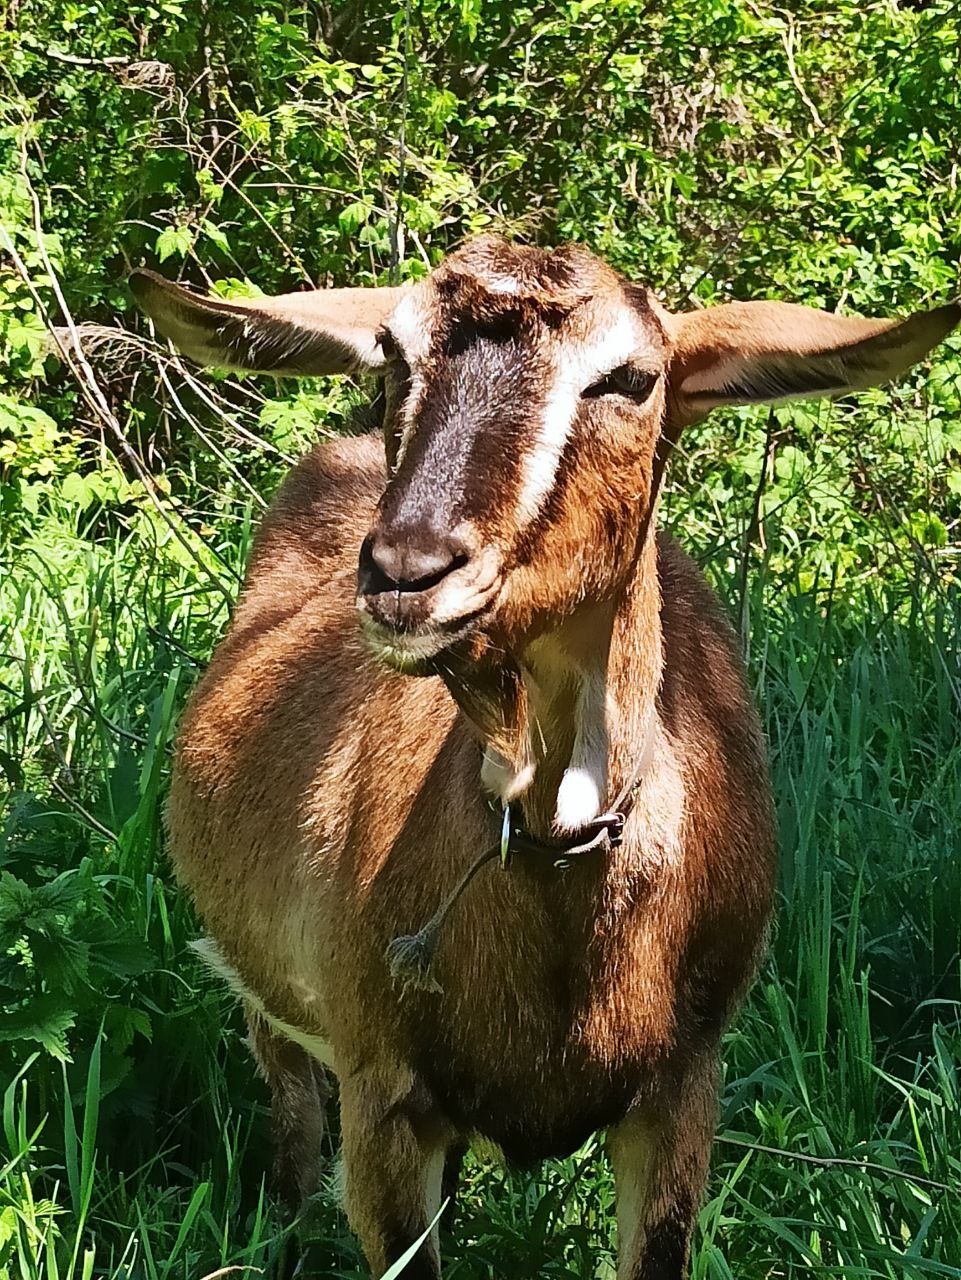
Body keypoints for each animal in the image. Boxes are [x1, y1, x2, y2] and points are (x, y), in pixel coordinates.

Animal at [131, 235, 957, 1274]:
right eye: (392, 356)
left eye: (631, 378)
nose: (407, 572)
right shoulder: (381, 1092)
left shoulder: (682, 1088)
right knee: (288, 1116)